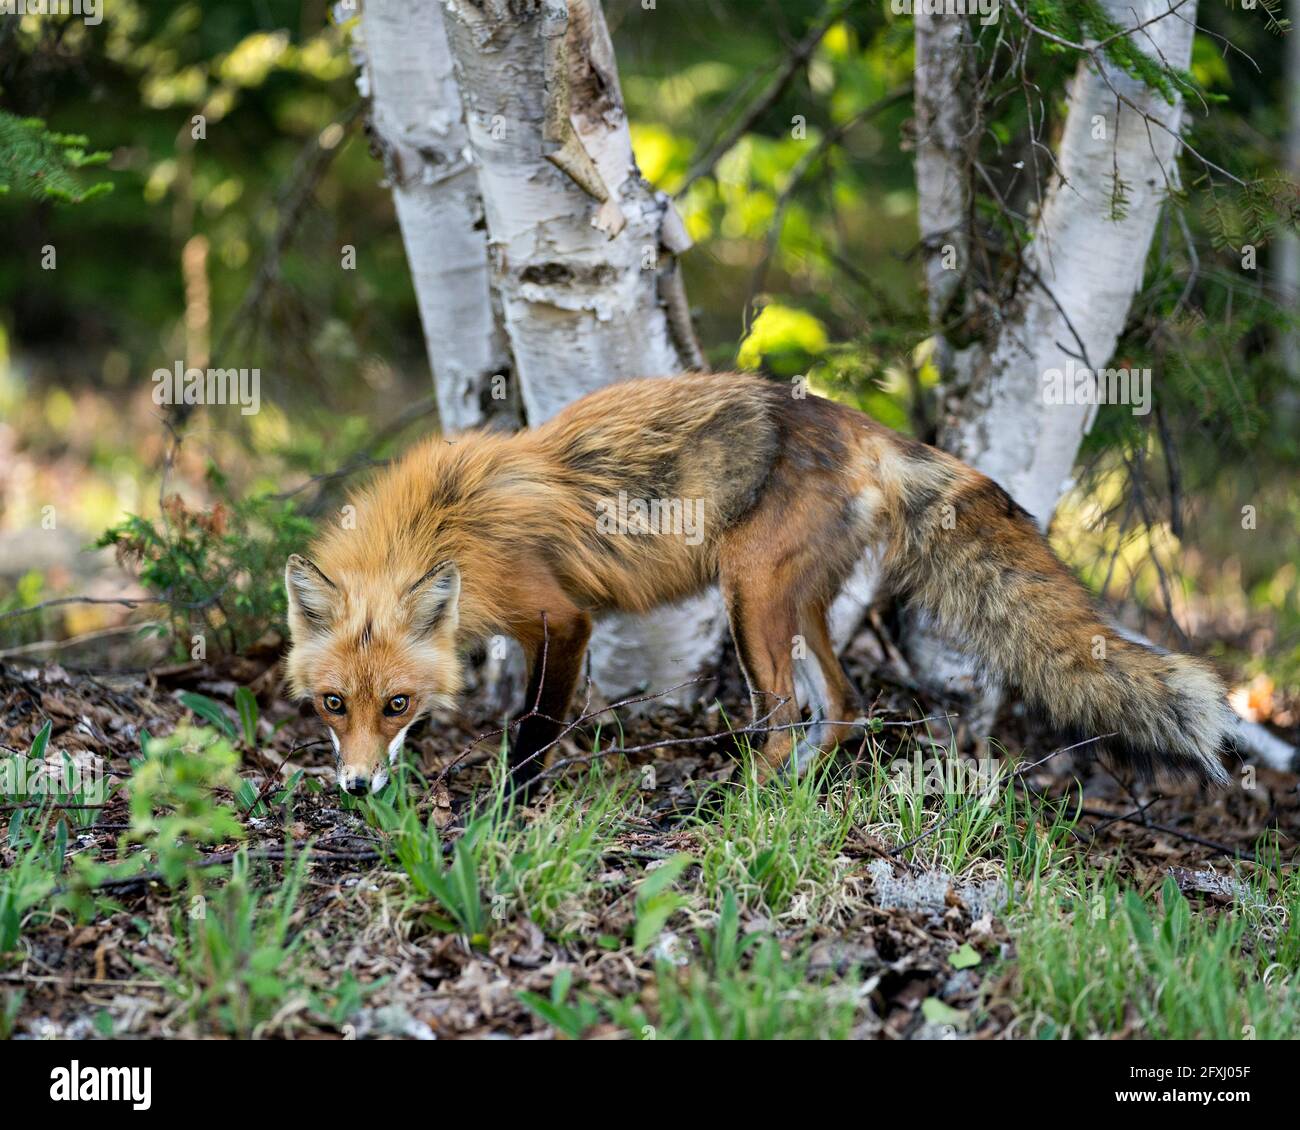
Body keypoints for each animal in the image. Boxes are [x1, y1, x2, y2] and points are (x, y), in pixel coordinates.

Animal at [283, 371, 1233, 796]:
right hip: (799, 603)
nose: (356, 790)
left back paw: (747, 797)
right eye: (334, 705)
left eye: (397, 705)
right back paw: (797, 789)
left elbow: (535, 727)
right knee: (842, 704)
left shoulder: (562, 619)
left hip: (750, 595)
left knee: (784, 710)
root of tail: (858, 422)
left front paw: (508, 805)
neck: (447, 524)